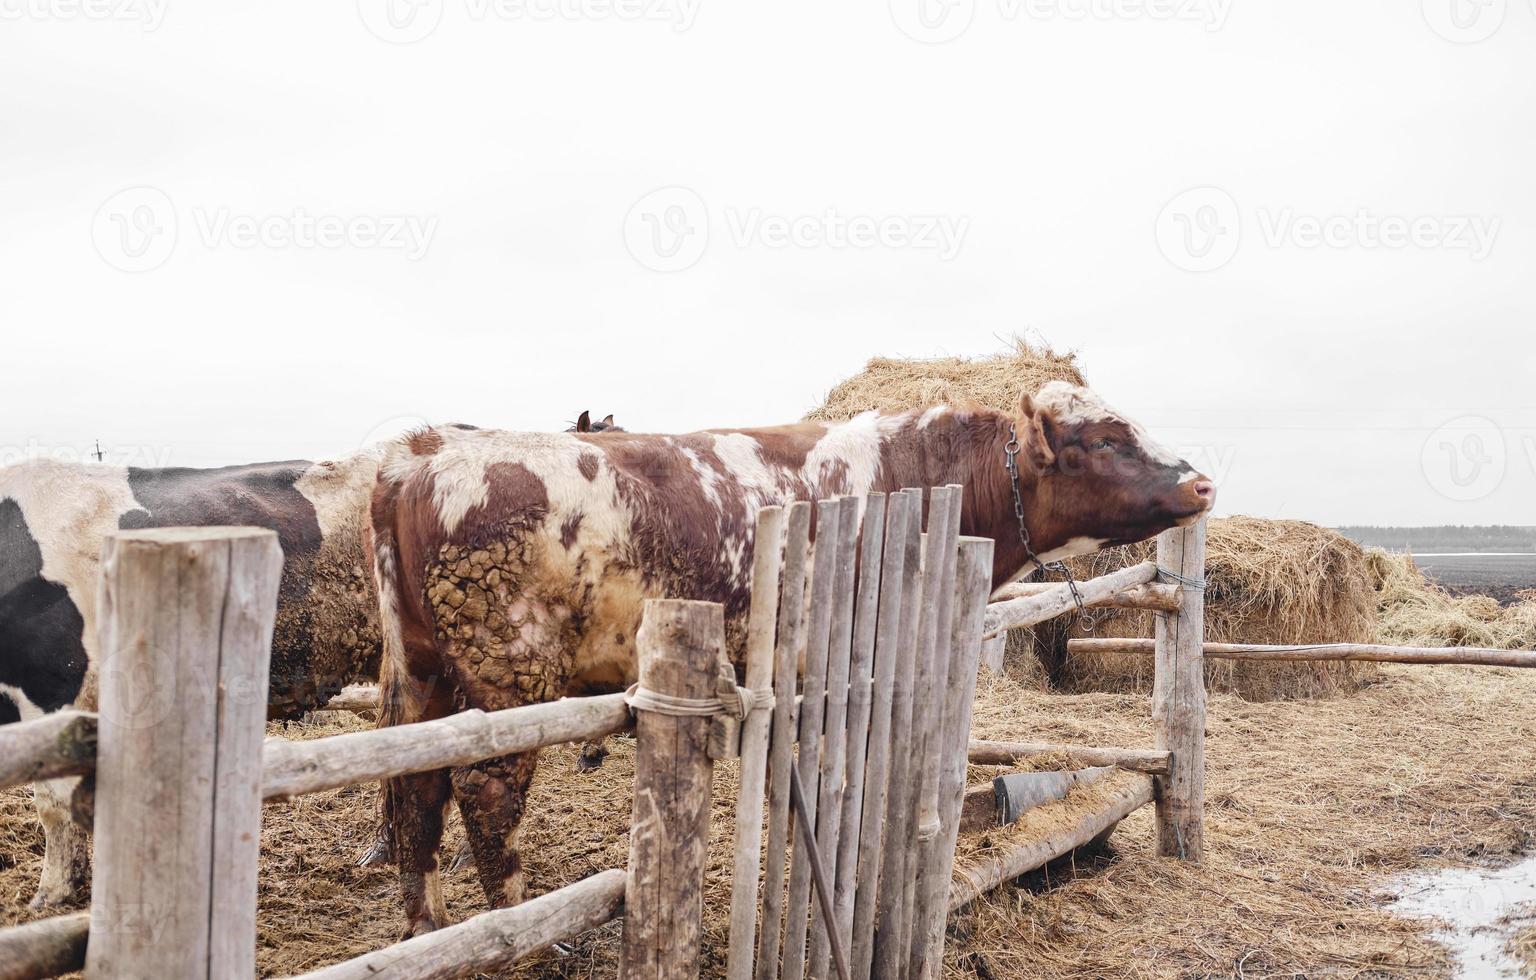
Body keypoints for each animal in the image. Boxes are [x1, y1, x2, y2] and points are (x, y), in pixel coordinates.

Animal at [368, 380, 1210, 933]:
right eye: (1105, 439)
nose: (1202, 483)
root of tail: (422, 456)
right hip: (508, 672)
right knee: (484, 796)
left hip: (420, 674)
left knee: (416, 791)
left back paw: (425, 927)